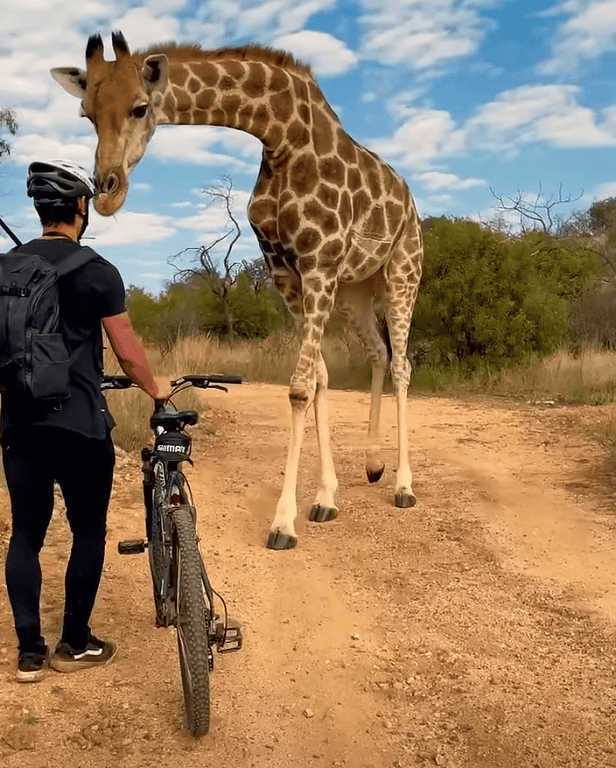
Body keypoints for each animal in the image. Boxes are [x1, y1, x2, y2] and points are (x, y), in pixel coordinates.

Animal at [53, 33, 424, 548]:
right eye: (86, 111)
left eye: (140, 107)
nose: (108, 191)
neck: (282, 134)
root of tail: (410, 201)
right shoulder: (286, 270)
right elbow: (320, 378)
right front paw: (325, 498)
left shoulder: (318, 262)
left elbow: (299, 388)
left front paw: (283, 522)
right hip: (355, 289)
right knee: (379, 352)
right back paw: (372, 464)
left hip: (401, 271)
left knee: (404, 362)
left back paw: (404, 487)